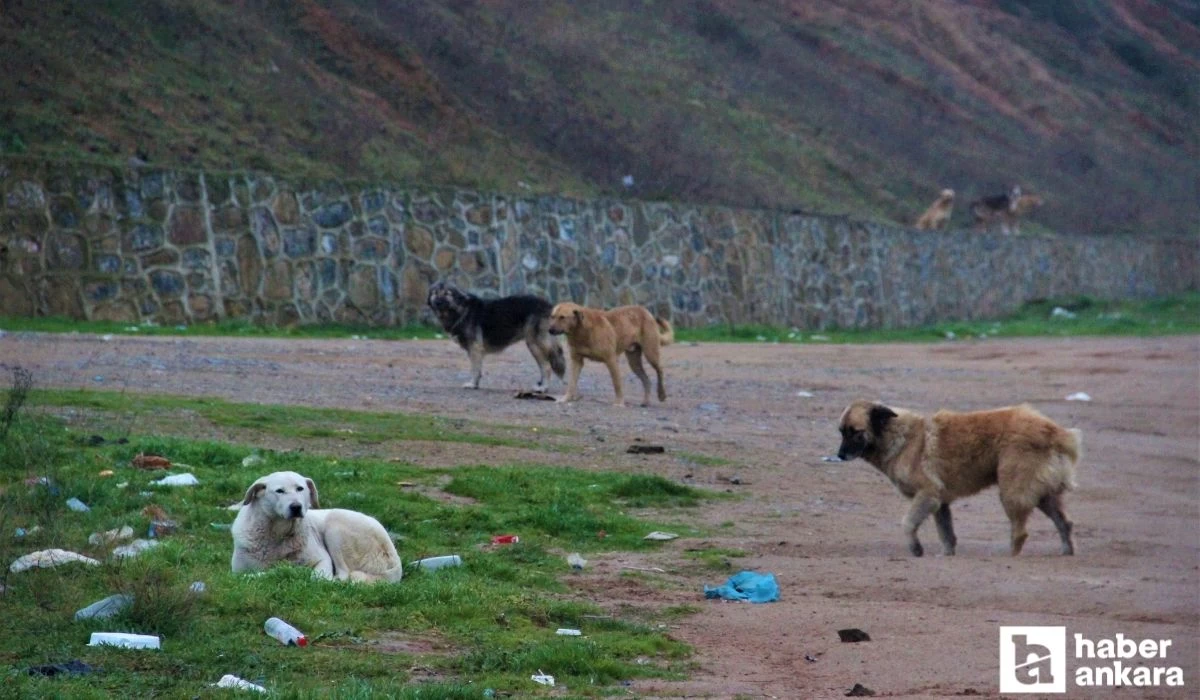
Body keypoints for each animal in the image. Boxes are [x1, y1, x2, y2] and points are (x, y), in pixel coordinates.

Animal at [229, 473, 403, 583]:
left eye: (300, 488)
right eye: (279, 491)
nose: (296, 507)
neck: (278, 533)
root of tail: (395, 560)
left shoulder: (323, 560)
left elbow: (317, 577)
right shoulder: (238, 570)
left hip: (335, 524)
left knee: (344, 575)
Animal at [427, 284, 566, 393]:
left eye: (447, 293)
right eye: (435, 293)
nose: (438, 302)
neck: (461, 310)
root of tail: (548, 305)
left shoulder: (474, 348)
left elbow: (475, 369)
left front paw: (472, 384)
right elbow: (478, 369)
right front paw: (475, 384)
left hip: (534, 343)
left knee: (546, 367)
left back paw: (543, 388)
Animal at [840, 401, 1084, 559]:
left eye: (856, 432)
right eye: (842, 432)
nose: (839, 455)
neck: (900, 437)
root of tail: (1055, 432)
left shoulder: (927, 495)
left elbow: (907, 523)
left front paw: (916, 549)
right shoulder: (939, 502)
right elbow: (946, 533)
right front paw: (947, 554)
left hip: (1012, 491)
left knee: (1021, 531)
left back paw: (1010, 555)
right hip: (1042, 493)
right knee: (1065, 522)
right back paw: (1067, 551)